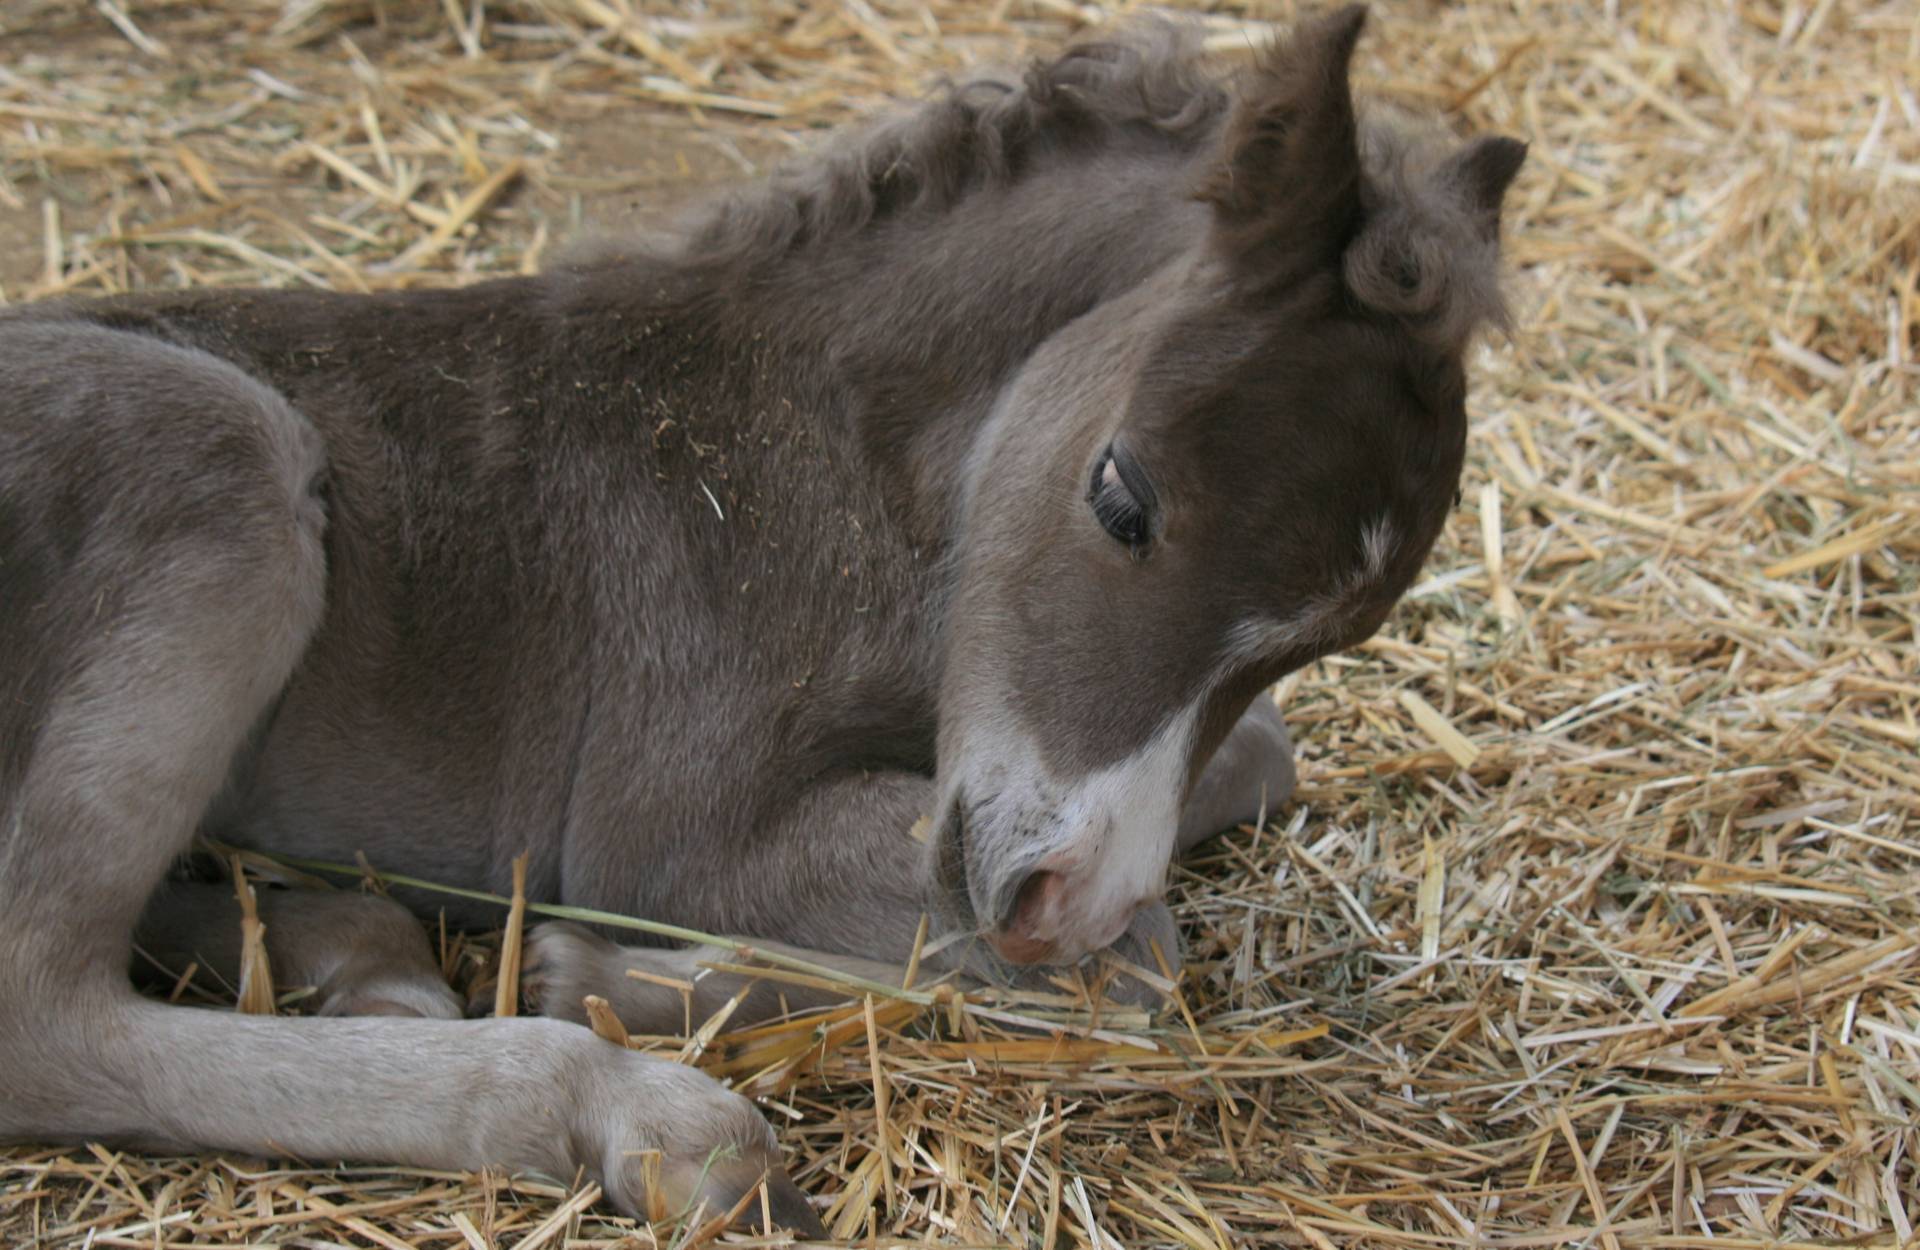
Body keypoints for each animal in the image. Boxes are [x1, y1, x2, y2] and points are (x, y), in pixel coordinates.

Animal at [3, 7, 1528, 1228]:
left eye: (1334, 636)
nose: (1053, 907)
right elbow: (1144, 960)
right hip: (219, 453)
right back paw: (641, 1115)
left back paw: (356, 953)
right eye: (1123, 494)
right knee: (40, 1006)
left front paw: (595, 967)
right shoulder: (671, 821)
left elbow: (1261, 759)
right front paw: (592, 971)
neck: (833, 444)